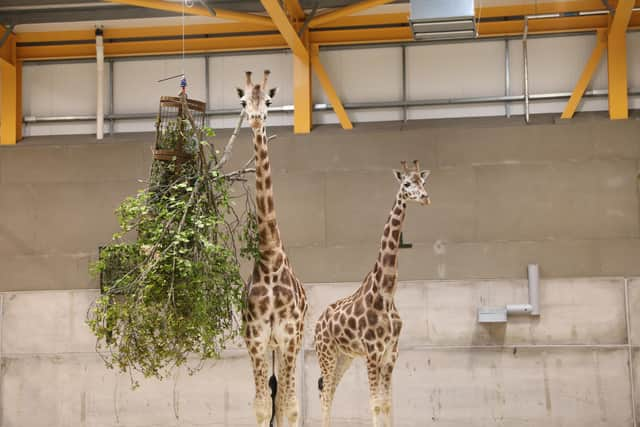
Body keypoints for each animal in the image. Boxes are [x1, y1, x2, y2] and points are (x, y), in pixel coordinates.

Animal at [314, 161, 430, 427]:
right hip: (326, 353)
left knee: (330, 391)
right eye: (406, 183)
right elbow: (375, 403)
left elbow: (386, 404)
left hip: (343, 357)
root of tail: (317, 323)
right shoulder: (373, 351)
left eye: (423, 181)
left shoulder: (391, 353)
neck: (386, 292)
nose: (425, 197)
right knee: (325, 394)